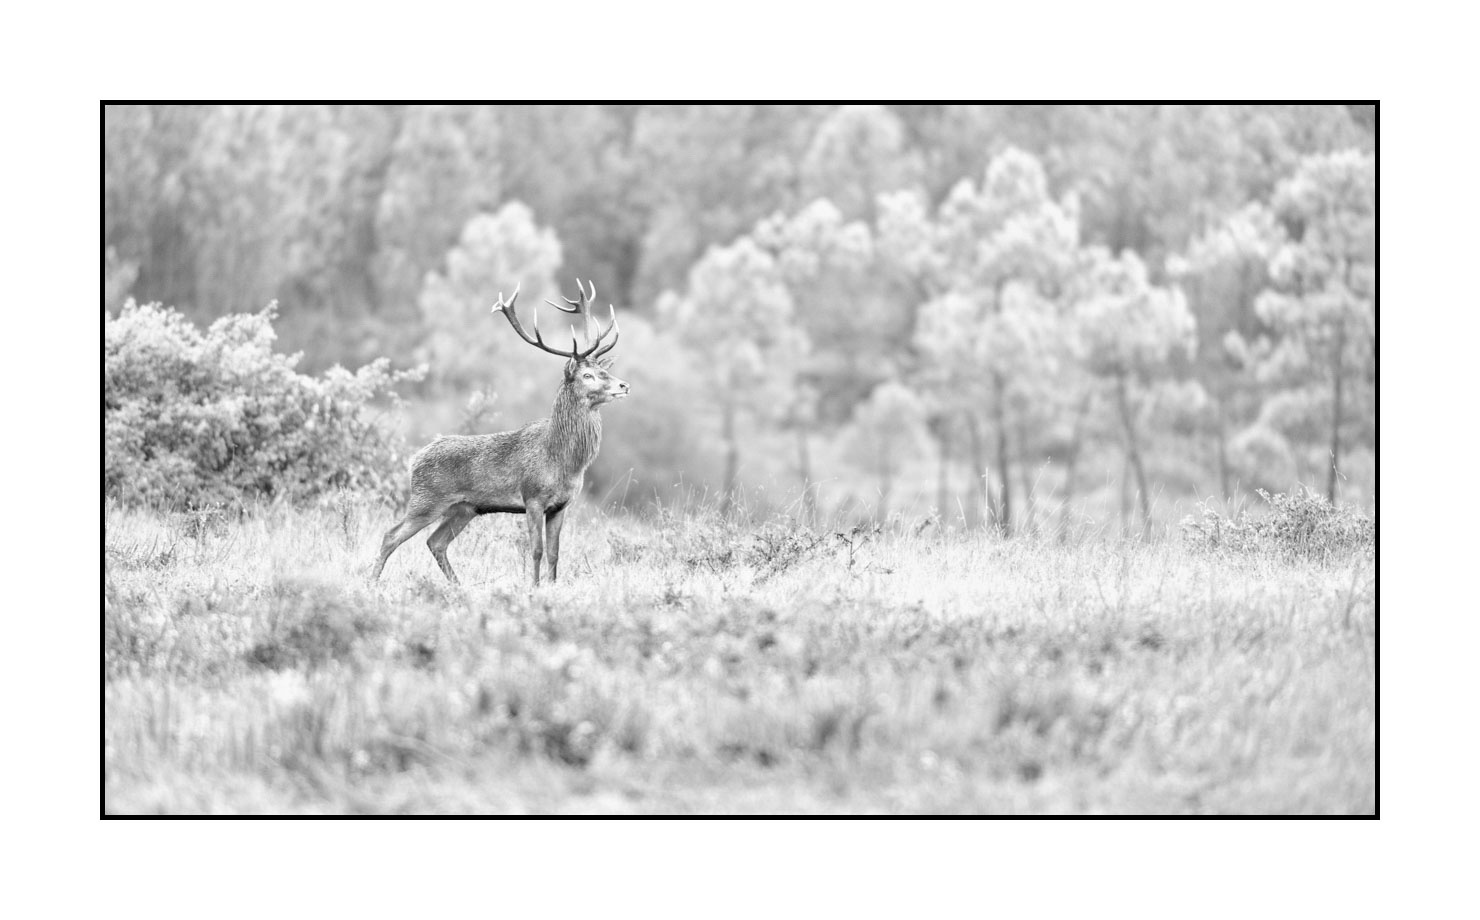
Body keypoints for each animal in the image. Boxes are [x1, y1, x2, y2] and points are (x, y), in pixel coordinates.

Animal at [371, 279, 628, 586]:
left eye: (604, 370)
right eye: (587, 376)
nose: (623, 385)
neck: (564, 462)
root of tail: (413, 460)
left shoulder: (561, 505)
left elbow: (555, 554)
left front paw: (552, 587)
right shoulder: (533, 497)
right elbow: (536, 550)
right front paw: (534, 587)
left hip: (465, 508)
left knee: (435, 542)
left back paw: (458, 586)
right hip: (426, 499)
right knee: (391, 535)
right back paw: (371, 582)